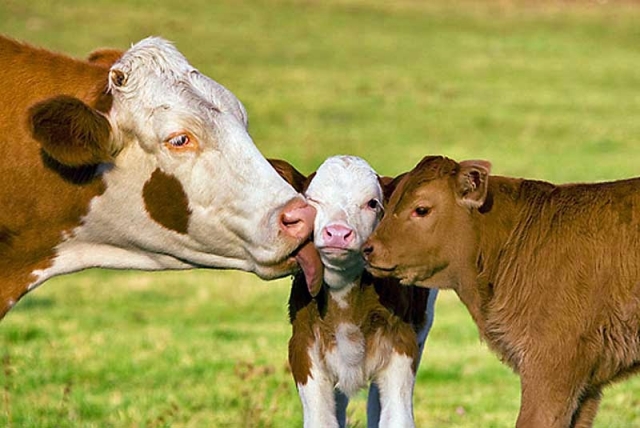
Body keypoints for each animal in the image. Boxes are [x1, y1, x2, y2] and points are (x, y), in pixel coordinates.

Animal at [282, 156, 437, 428]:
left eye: (372, 203)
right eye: (311, 201)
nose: (337, 233)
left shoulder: (402, 344)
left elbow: (397, 417)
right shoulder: (303, 348)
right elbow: (321, 420)